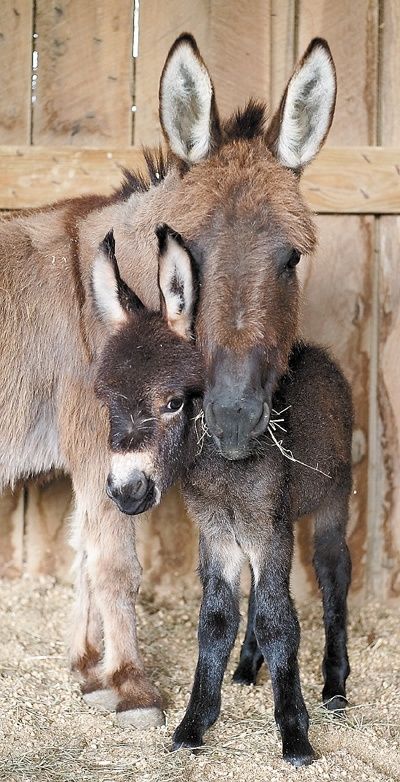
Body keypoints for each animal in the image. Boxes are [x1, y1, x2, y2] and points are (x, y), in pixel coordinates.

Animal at [92, 230, 352, 768]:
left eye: (174, 402)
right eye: (106, 402)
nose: (127, 492)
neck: (221, 468)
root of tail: (317, 353)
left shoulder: (267, 529)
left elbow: (279, 622)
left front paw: (295, 736)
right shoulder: (218, 532)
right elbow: (215, 621)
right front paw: (193, 726)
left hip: (332, 502)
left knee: (334, 573)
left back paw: (335, 687)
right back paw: (248, 667)